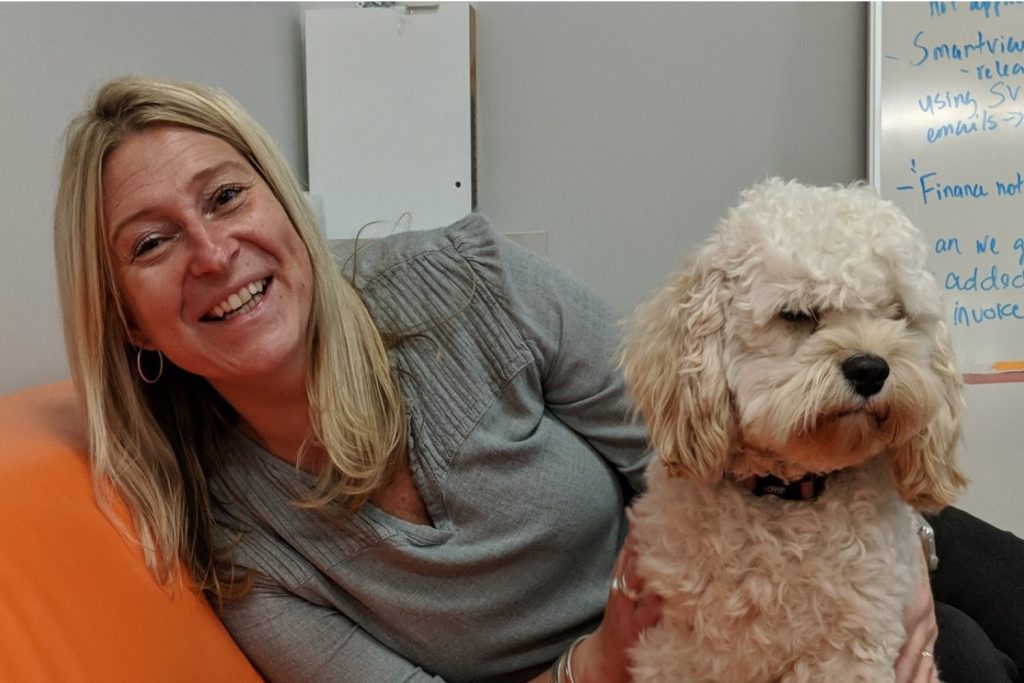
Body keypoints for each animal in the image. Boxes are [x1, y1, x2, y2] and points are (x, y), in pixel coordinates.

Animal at [622, 179, 966, 679]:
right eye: (797, 314)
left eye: (896, 314)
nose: (870, 369)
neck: (786, 495)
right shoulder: (677, 651)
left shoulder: (850, 650)